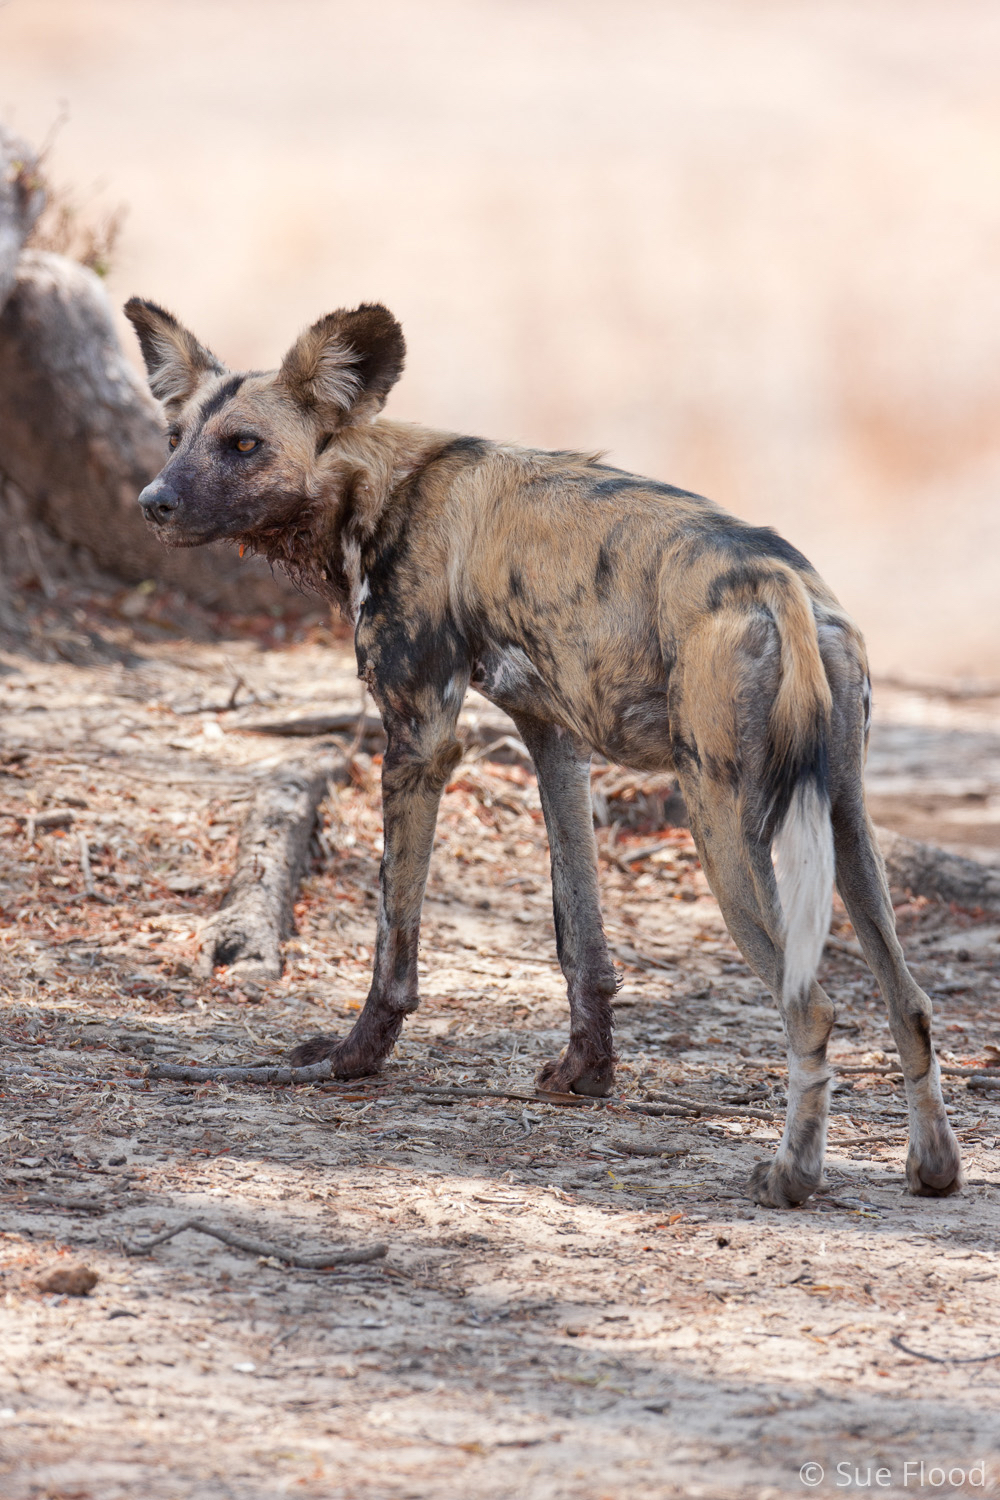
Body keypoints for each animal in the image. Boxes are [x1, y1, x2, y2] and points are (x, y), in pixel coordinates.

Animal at [122, 292, 959, 1206]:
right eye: (177, 436)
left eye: (244, 446)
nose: (152, 501)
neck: (377, 488)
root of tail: (778, 580)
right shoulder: (553, 740)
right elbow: (579, 936)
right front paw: (586, 1074)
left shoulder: (418, 740)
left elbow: (393, 943)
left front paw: (350, 1061)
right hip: (844, 816)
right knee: (910, 999)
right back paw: (933, 1167)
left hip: (722, 821)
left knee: (810, 1005)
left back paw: (791, 1176)